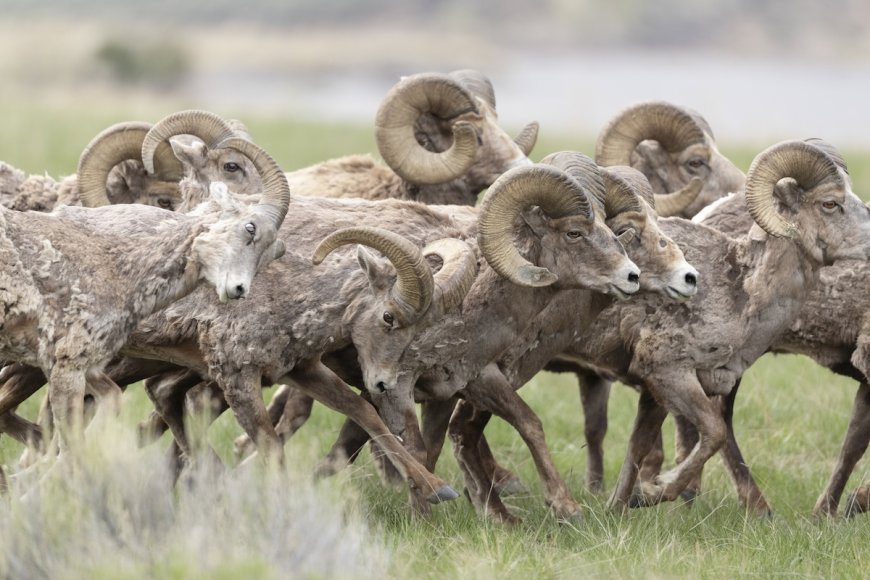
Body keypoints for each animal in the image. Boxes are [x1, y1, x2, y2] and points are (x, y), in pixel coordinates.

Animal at [0, 136, 290, 449]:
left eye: (270, 254)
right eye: (250, 228)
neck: (118, 267)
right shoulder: (67, 369)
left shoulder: (89, 368)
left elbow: (109, 403)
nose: (238, 289)